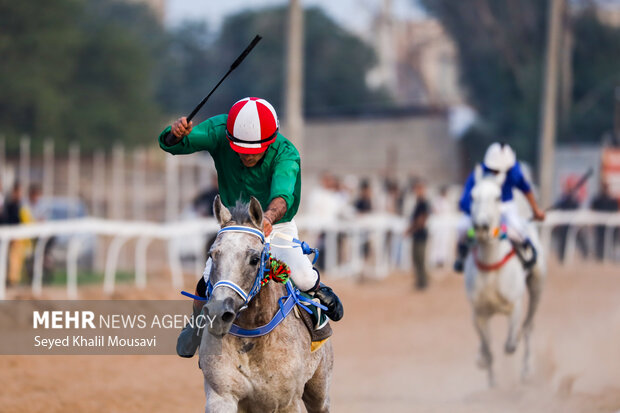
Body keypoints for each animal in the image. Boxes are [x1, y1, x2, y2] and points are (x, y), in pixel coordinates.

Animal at [200, 196, 334, 412]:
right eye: (212, 254)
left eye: (255, 259)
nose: (218, 312)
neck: (252, 337)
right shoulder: (221, 395)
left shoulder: (288, 402)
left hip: (320, 388)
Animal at [464, 174, 548, 386]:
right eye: (473, 196)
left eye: (497, 197)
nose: (481, 227)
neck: (491, 264)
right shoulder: (479, 311)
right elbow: (488, 349)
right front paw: (490, 376)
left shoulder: (514, 305)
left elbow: (510, 345)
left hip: (537, 285)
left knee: (529, 325)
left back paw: (526, 369)